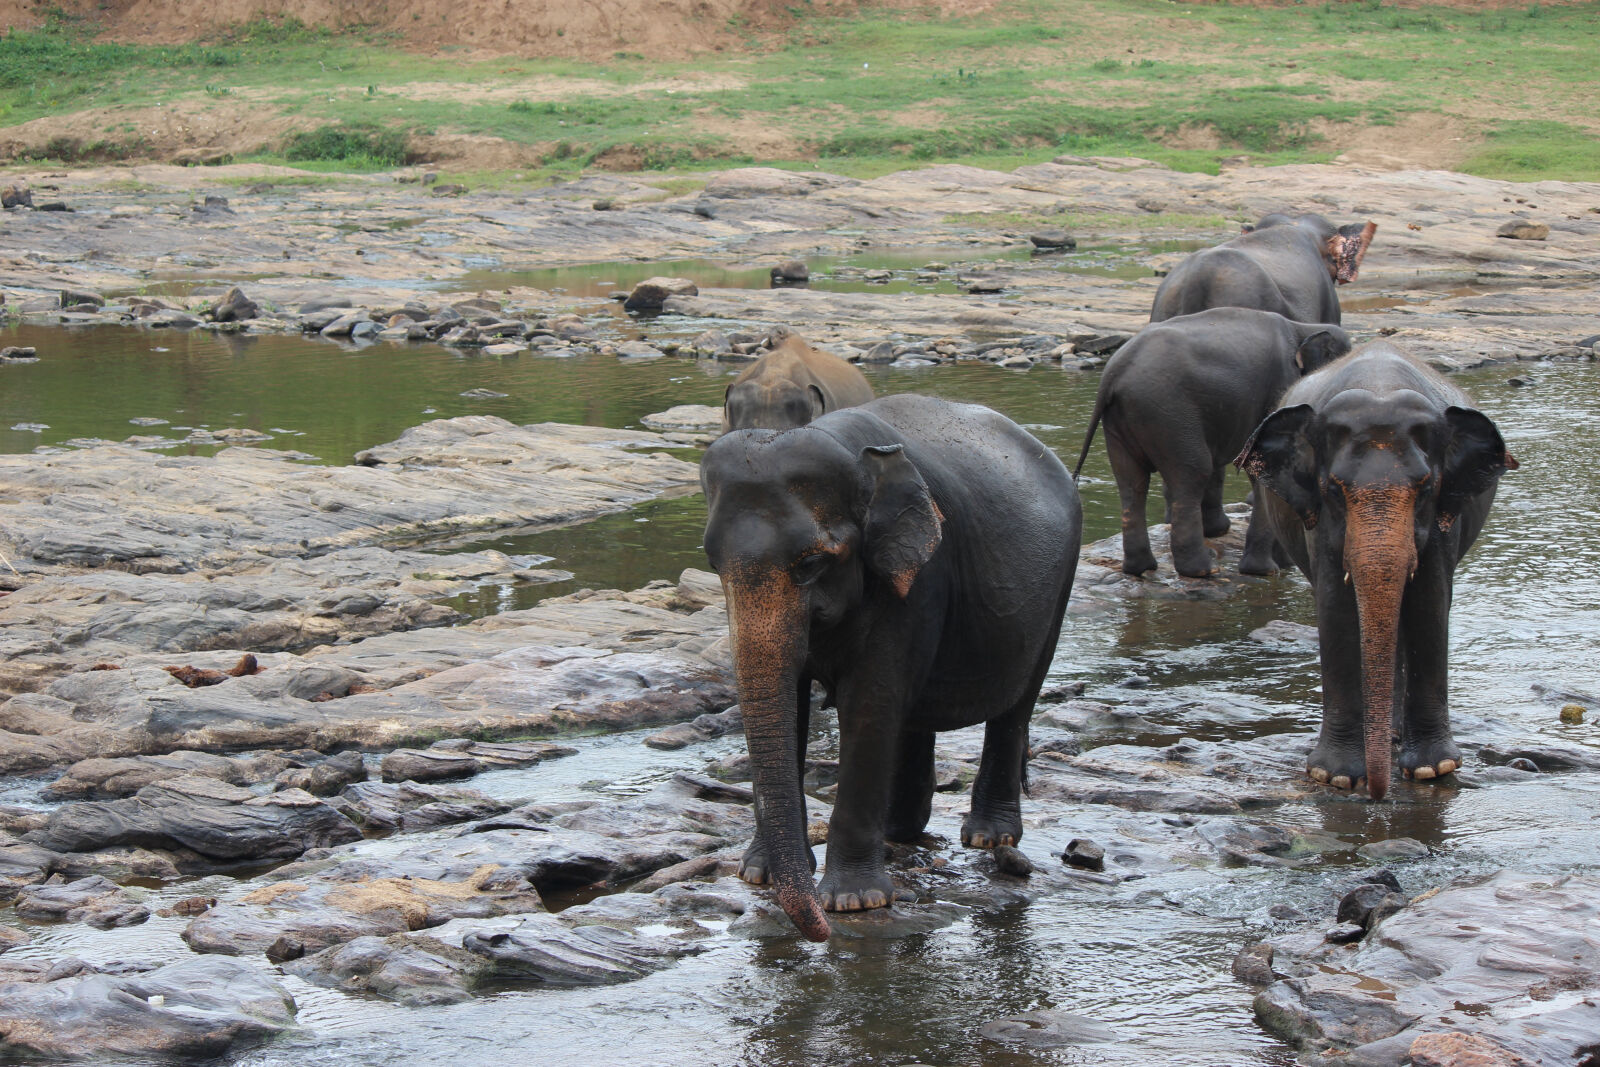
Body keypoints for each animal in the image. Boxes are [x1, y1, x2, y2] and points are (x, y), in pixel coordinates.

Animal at [697, 395, 1075, 940]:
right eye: (712, 562)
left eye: (811, 563)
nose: (820, 934)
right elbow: (796, 702)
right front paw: (757, 874)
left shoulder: (918, 577)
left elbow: (870, 701)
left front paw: (853, 902)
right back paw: (901, 831)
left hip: (1059, 587)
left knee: (1015, 706)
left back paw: (989, 839)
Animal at [1075, 303, 1350, 579]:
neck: (1303, 328)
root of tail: (1113, 372)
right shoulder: (1278, 391)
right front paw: (1267, 570)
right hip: (1170, 413)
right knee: (1193, 472)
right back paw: (1203, 570)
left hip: (1123, 420)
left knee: (1132, 482)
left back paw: (1140, 568)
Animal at [1228, 342, 1516, 799]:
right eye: (1333, 489)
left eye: (1426, 488)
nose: (1378, 796)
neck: (1380, 387)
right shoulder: (1320, 521)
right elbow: (1335, 607)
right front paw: (1336, 776)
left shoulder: (1443, 519)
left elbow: (1431, 603)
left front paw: (1433, 770)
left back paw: (1395, 738)